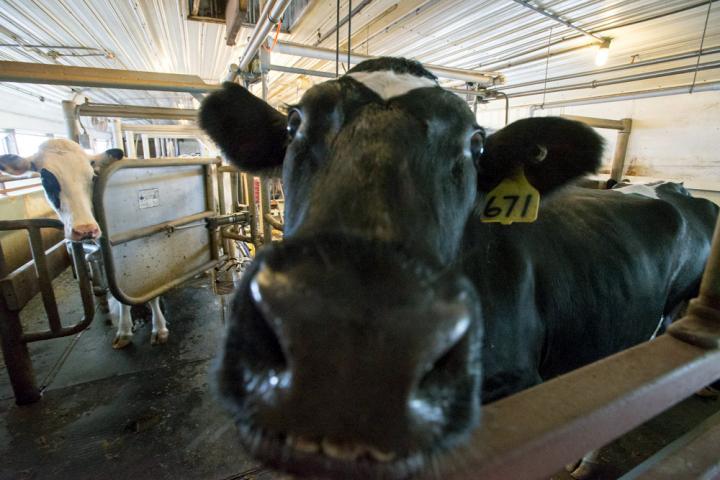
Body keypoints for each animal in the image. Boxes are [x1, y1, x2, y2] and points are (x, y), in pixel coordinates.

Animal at [0, 139, 169, 349]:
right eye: (46, 179)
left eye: (92, 176)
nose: (85, 229)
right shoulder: (109, 259)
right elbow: (120, 295)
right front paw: (124, 331)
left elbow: (152, 291)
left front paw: (159, 328)